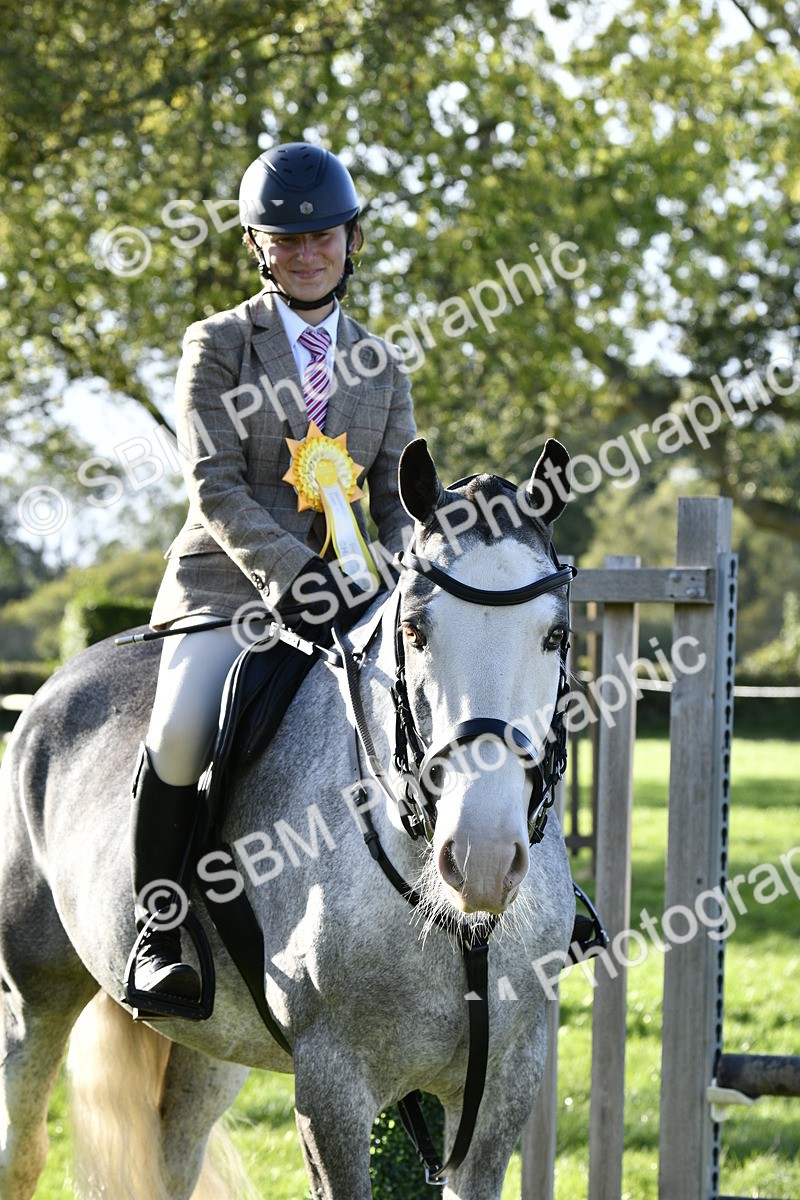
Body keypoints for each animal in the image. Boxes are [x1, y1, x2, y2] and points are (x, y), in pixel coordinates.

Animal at [0, 437, 576, 1200]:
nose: (481, 856)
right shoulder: (332, 1090)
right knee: (23, 1148)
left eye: (556, 636)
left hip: (213, 1045)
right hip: (36, 994)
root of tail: (55, 684)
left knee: (174, 1151)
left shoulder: (504, 1090)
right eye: (415, 631)